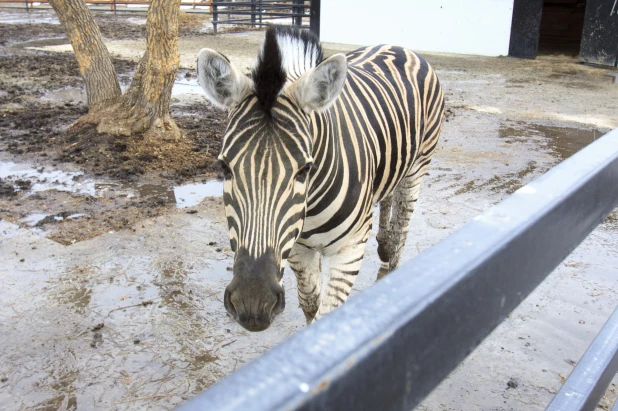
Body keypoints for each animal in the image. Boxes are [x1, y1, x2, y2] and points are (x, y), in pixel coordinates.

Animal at [197, 25, 442, 334]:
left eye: (304, 170)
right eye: (224, 168)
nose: (253, 304)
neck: (310, 206)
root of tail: (396, 46)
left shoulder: (350, 249)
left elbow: (327, 316)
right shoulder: (298, 249)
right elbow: (310, 304)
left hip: (418, 166)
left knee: (402, 226)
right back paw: (384, 245)